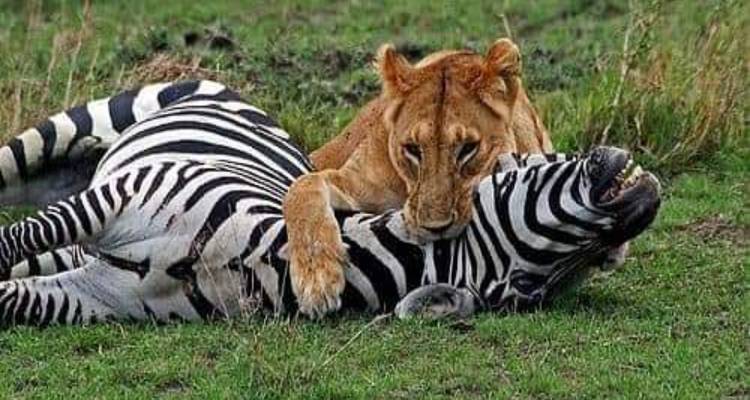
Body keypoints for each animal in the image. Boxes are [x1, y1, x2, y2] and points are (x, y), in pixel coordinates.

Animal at [0, 81, 661, 326]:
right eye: (520, 167)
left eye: (533, 291)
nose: (648, 198)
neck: (255, 261)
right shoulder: (118, 198)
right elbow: (13, 238)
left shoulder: (92, 298)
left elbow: (13, 296)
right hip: (78, 140)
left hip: (73, 251)